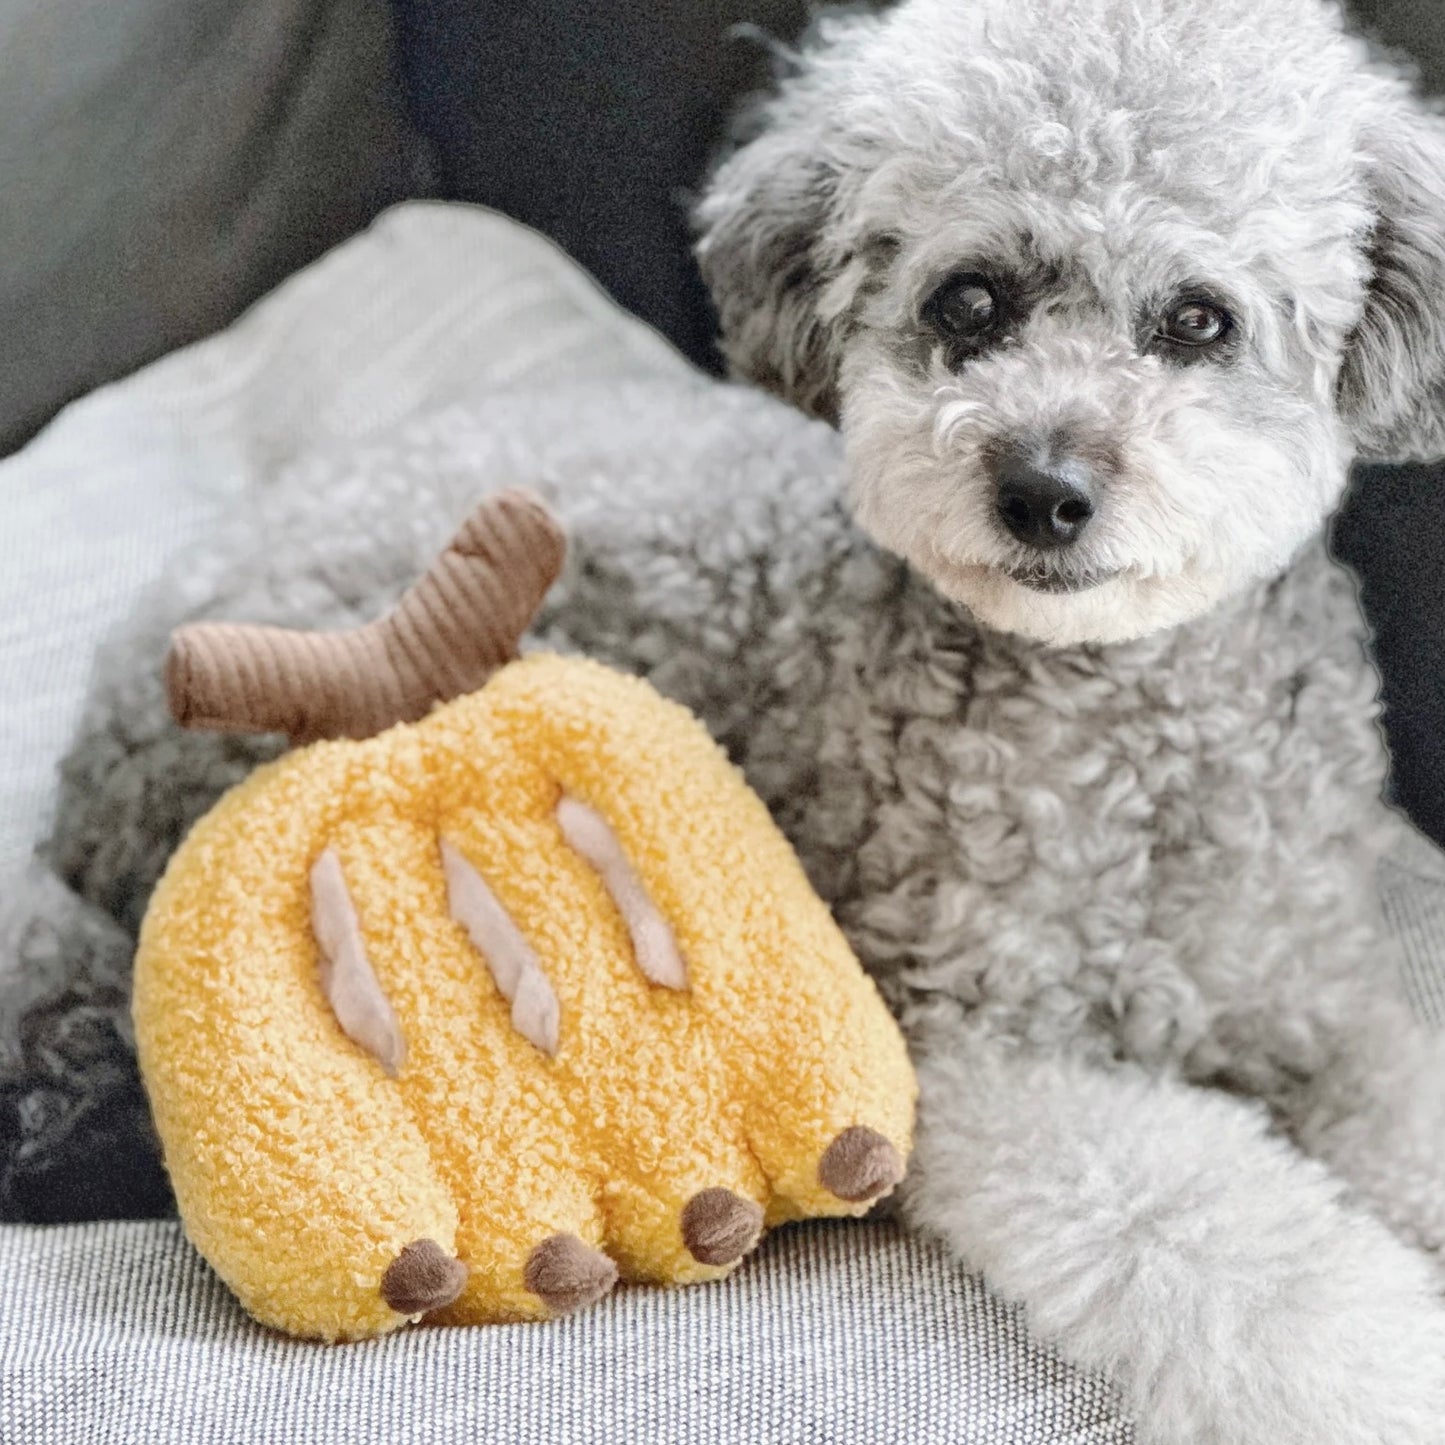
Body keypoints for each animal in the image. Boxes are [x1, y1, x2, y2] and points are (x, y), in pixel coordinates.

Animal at [8, 0, 1445, 1439]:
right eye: (969, 302)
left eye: (1198, 321)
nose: (1041, 490)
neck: (1131, 726)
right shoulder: (993, 1052)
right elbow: (1231, 1236)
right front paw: (1381, 1365)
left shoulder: (1325, 997)